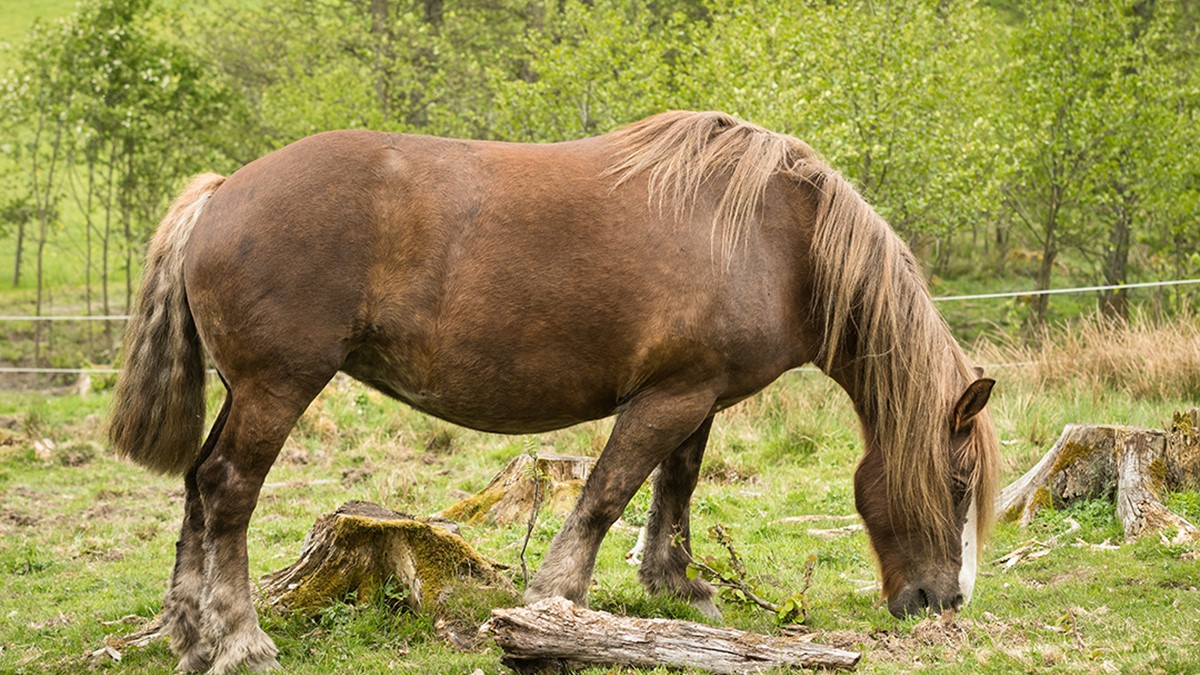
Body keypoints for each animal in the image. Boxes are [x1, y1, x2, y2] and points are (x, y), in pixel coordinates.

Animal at [108, 111, 998, 672]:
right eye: (956, 482)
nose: (942, 600)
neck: (776, 238)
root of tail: (222, 192)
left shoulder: (696, 395)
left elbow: (674, 488)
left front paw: (676, 587)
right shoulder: (670, 396)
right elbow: (609, 492)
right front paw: (558, 602)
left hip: (246, 390)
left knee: (198, 485)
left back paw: (189, 632)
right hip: (277, 387)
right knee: (228, 490)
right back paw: (239, 640)